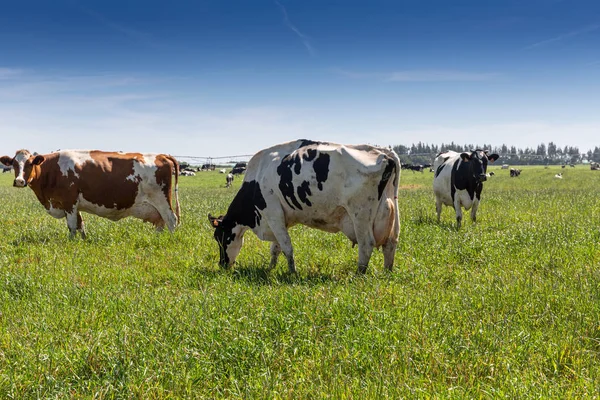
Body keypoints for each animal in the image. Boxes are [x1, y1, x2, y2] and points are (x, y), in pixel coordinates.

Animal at [0, 149, 180, 238]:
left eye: (30, 163)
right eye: (14, 163)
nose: (19, 181)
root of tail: (161, 155)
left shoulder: (69, 202)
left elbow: (72, 227)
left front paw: (70, 243)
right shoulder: (72, 205)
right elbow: (81, 225)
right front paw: (84, 241)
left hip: (162, 200)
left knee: (171, 220)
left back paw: (171, 241)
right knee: (161, 223)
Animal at [209, 139, 400, 274]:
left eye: (220, 237)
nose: (222, 264)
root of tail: (384, 152)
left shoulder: (272, 213)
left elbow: (286, 247)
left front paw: (292, 273)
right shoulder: (280, 219)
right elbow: (276, 248)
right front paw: (270, 269)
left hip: (360, 214)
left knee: (366, 244)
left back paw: (358, 274)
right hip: (392, 212)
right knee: (391, 243)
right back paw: (387, 272)